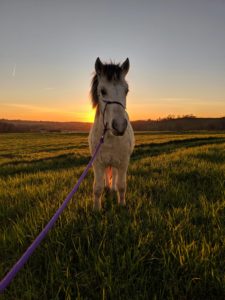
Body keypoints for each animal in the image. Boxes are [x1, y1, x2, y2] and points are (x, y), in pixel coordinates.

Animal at [88, 57, 134, 210]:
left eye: (126, 90)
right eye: (102, 91)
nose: (119, 126)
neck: (108, 138)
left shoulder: (123, 163)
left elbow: (121, 186)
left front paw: (122, 205)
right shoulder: (98, 163)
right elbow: (97, 188)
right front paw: (96, 209)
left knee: (113, 174)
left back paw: (112, 188)